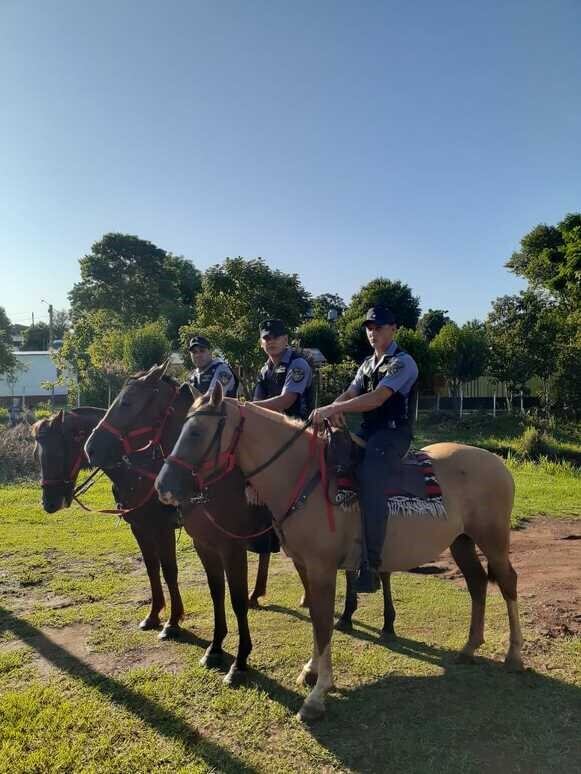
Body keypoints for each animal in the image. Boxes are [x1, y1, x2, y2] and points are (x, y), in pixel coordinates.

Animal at [31, 410, 184, 640]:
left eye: (57, 453)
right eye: (37, 455)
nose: (49, 503)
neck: (140, 472)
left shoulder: (163, 529)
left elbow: (169, 571)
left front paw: (173, 622)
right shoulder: (140, 528)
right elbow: (151, 568)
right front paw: (153, 615)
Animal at [156, 392, 524, 724]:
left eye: (196, 432)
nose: (163, 487)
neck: (303, 477)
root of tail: (497, 462)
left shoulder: (321, 568)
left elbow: (322, 622)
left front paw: (317, 694)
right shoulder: (304, 565)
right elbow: (316, 620)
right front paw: (311, 670)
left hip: (492, 540)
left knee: (507, 582)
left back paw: (514, 655)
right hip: (462, 542)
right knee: (477, 582)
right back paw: (469, 647)